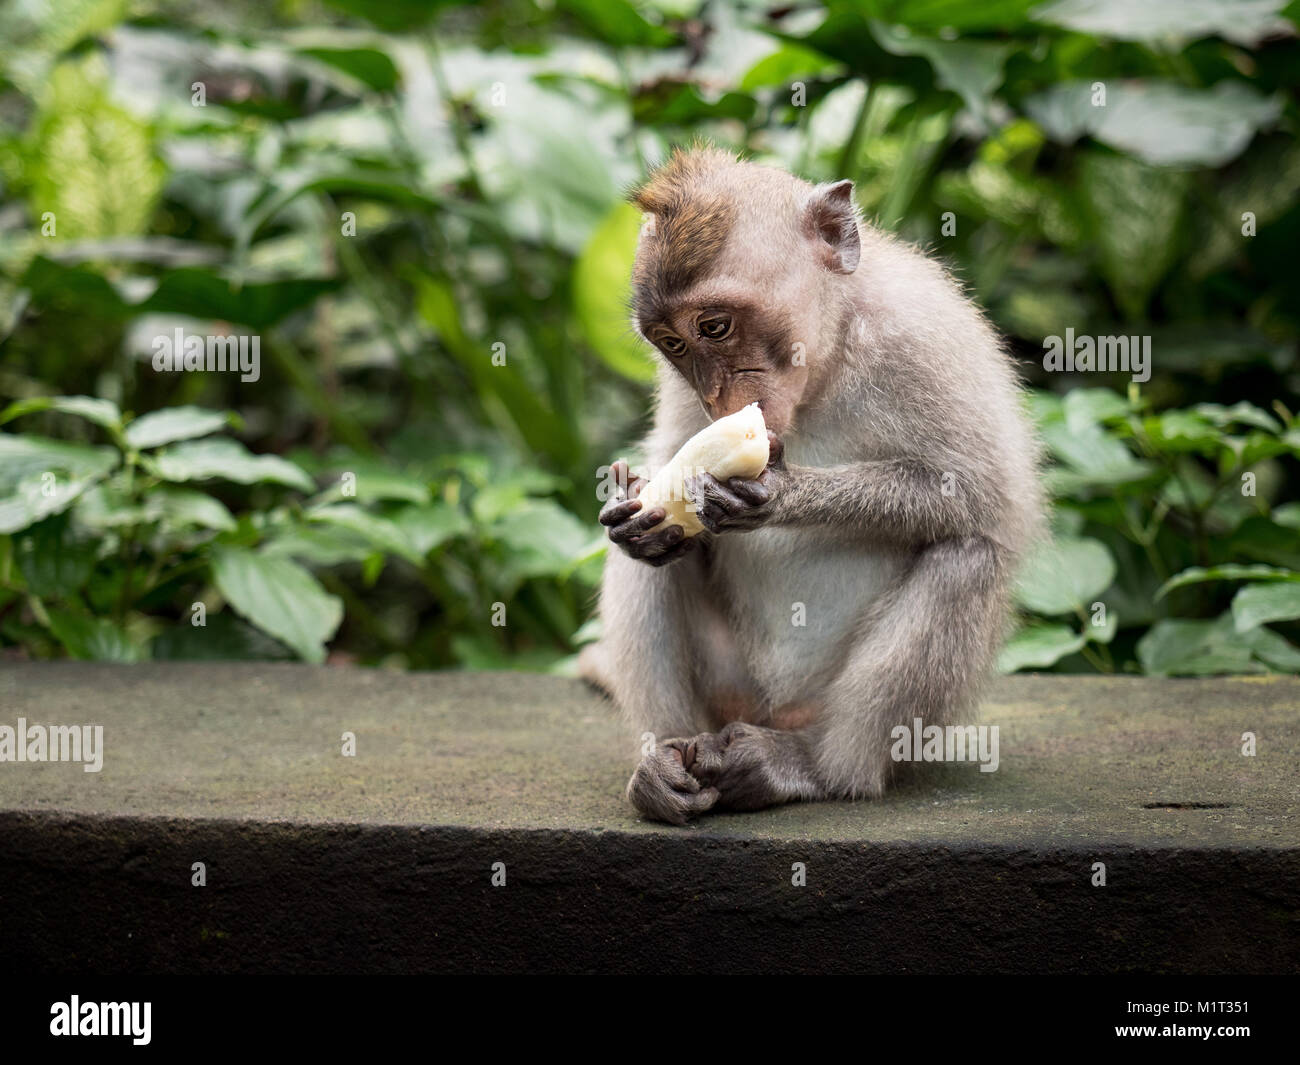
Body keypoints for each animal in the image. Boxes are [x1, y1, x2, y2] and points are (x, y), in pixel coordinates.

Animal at [582, 145, 1045, 827]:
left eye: (714, 327)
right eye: (673, 344)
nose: (717, 396)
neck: (827, 360)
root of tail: (777, 714)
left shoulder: (924, 337)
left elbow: (983, 496)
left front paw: (780, 494)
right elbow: (662, 481)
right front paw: (639, 517)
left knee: (966, 557)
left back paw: (813, 769)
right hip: (730, 687)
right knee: (645, 574)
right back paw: (664, 760)